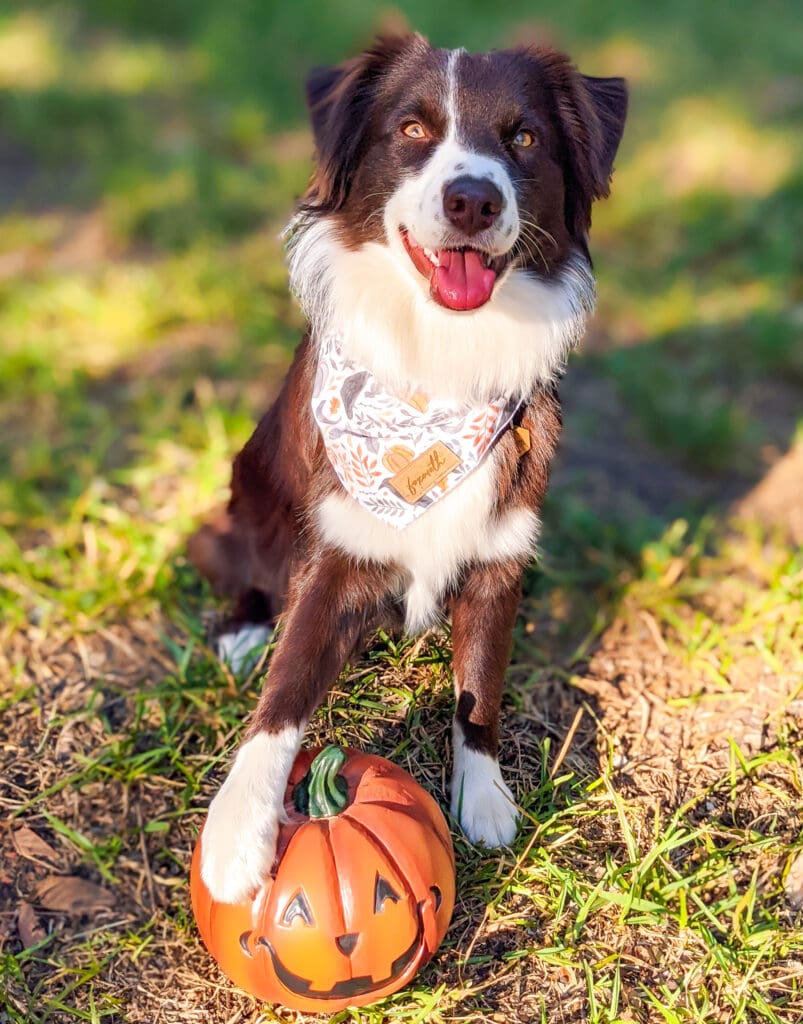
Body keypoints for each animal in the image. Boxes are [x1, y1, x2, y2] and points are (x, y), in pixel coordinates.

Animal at [189, 32, 626, 901]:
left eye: (523, 138)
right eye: (413, 130)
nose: (471, 201)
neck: (440, 366)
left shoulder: (499, 559)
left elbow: (479, 686)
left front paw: (483, 794)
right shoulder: (335, 553)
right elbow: (286, 690)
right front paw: (235, 830)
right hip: (248, 493)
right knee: (235, 561)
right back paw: (242, 631)